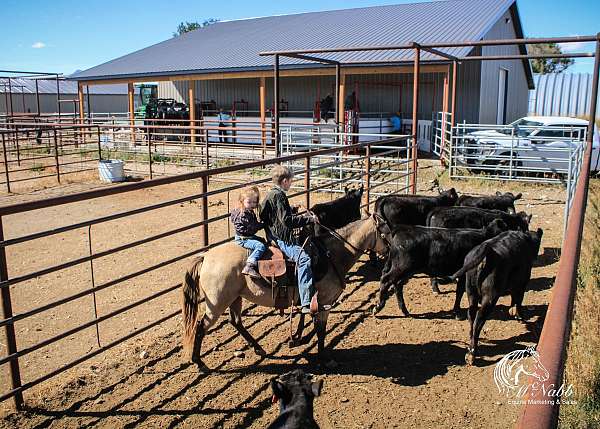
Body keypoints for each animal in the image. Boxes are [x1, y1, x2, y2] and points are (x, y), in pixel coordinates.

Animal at [376, 219, 506, 316]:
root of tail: (400, 229)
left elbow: (460, 291)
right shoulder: (463, 273)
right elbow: (459, 292)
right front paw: (457, 312)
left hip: (407, 270)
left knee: (397, 285)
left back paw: (404, 311)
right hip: (402, 267)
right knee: (386, 280)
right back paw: (378, 307)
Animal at [450, 229, 544, 362]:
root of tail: (485, 253)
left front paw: (512, 310)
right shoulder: (522, 282)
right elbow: (519, 299)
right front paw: (519, 315)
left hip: (471, 292)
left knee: (471, 315)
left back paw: (471, 340)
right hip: (490, 298)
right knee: (479, 319)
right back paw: (472, 353)